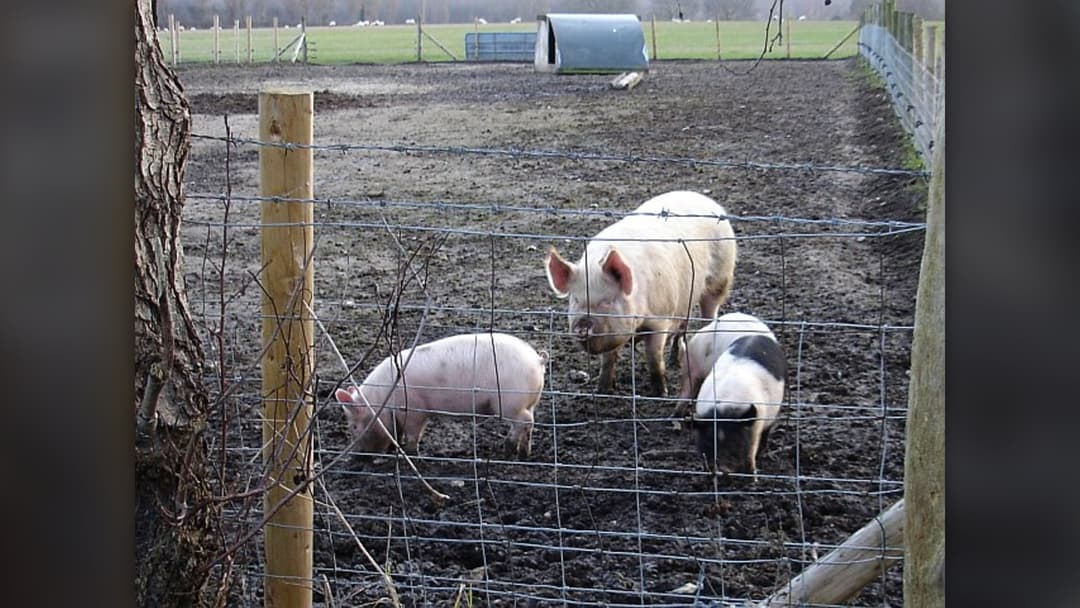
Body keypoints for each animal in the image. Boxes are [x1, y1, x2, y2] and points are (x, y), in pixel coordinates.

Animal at [334, 332, 546, 458]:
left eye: (354, 426)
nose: (356, 457)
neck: (382, 399)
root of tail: (537, 360)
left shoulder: (414, 410)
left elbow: (413, 433)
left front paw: (411, 453)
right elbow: (399, 432)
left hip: (509, 403)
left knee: (525, 422)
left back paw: (508, 449)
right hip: (527, 402)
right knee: (529, 422)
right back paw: (524, 453)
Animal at [545, 190, 737, 397]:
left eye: (607, 301)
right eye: (576, 299)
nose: (582, 326)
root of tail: (702, 198)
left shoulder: (660, 319)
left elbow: (653, 358)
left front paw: (661, 394)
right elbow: (608, 359)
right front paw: (603, 389)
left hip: (720, 277)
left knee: (709, 312)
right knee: (682, 326)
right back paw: (674, 360)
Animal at [693, 334, 786, 480]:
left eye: (736, 442)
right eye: (709, 443)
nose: (722, 469)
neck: (724, 406)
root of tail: (756, 335)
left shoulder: (754, 428)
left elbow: (750, 454)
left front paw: (753, 479)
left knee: (767, 431)